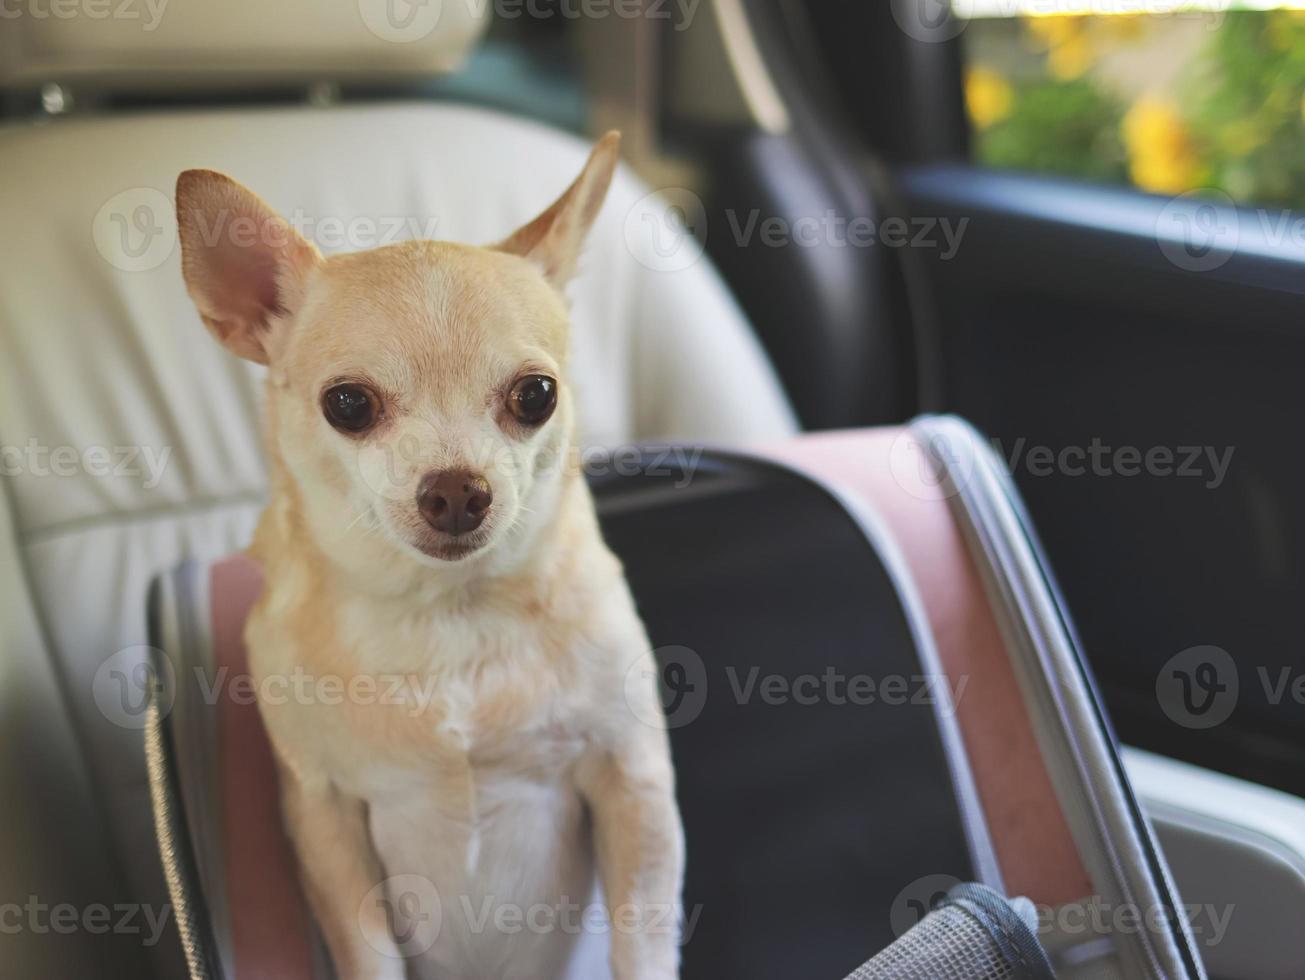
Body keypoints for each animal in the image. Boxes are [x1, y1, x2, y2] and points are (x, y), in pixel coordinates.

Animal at [178, 132, 689, 980]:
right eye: (348, 404)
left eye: (535, 396)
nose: (455, 491)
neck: (446, 611)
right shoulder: (326, 818)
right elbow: (368, 953)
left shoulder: (632, 782)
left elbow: (642, 939)